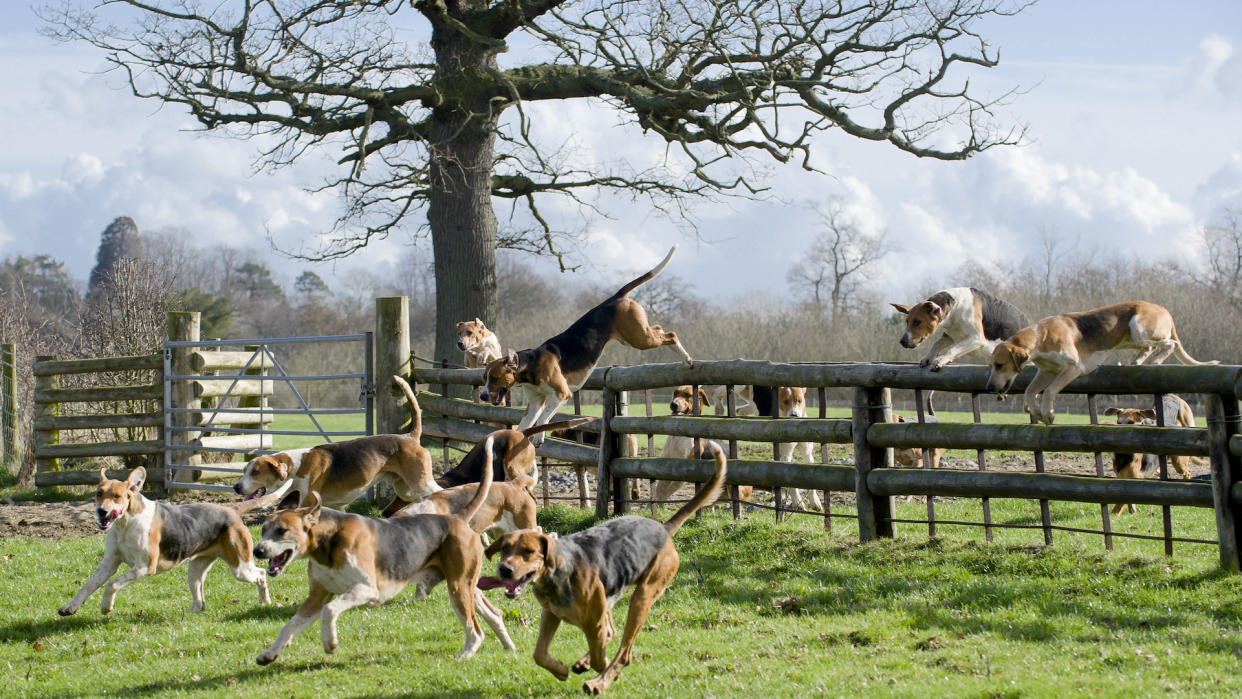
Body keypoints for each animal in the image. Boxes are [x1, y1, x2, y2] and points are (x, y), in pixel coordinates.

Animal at [479, 244, 695, 441]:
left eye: (495, 378)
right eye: (484, 378)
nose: (482, 396)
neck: (530, 365)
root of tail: (616, 297)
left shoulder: (561, 394)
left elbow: (543, 419)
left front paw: (539, 436)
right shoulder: (535, 402)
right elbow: (526, 423)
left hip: (640, 338)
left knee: (671, 335)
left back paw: (686, 358)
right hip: (633, 336)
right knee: (659, 328)